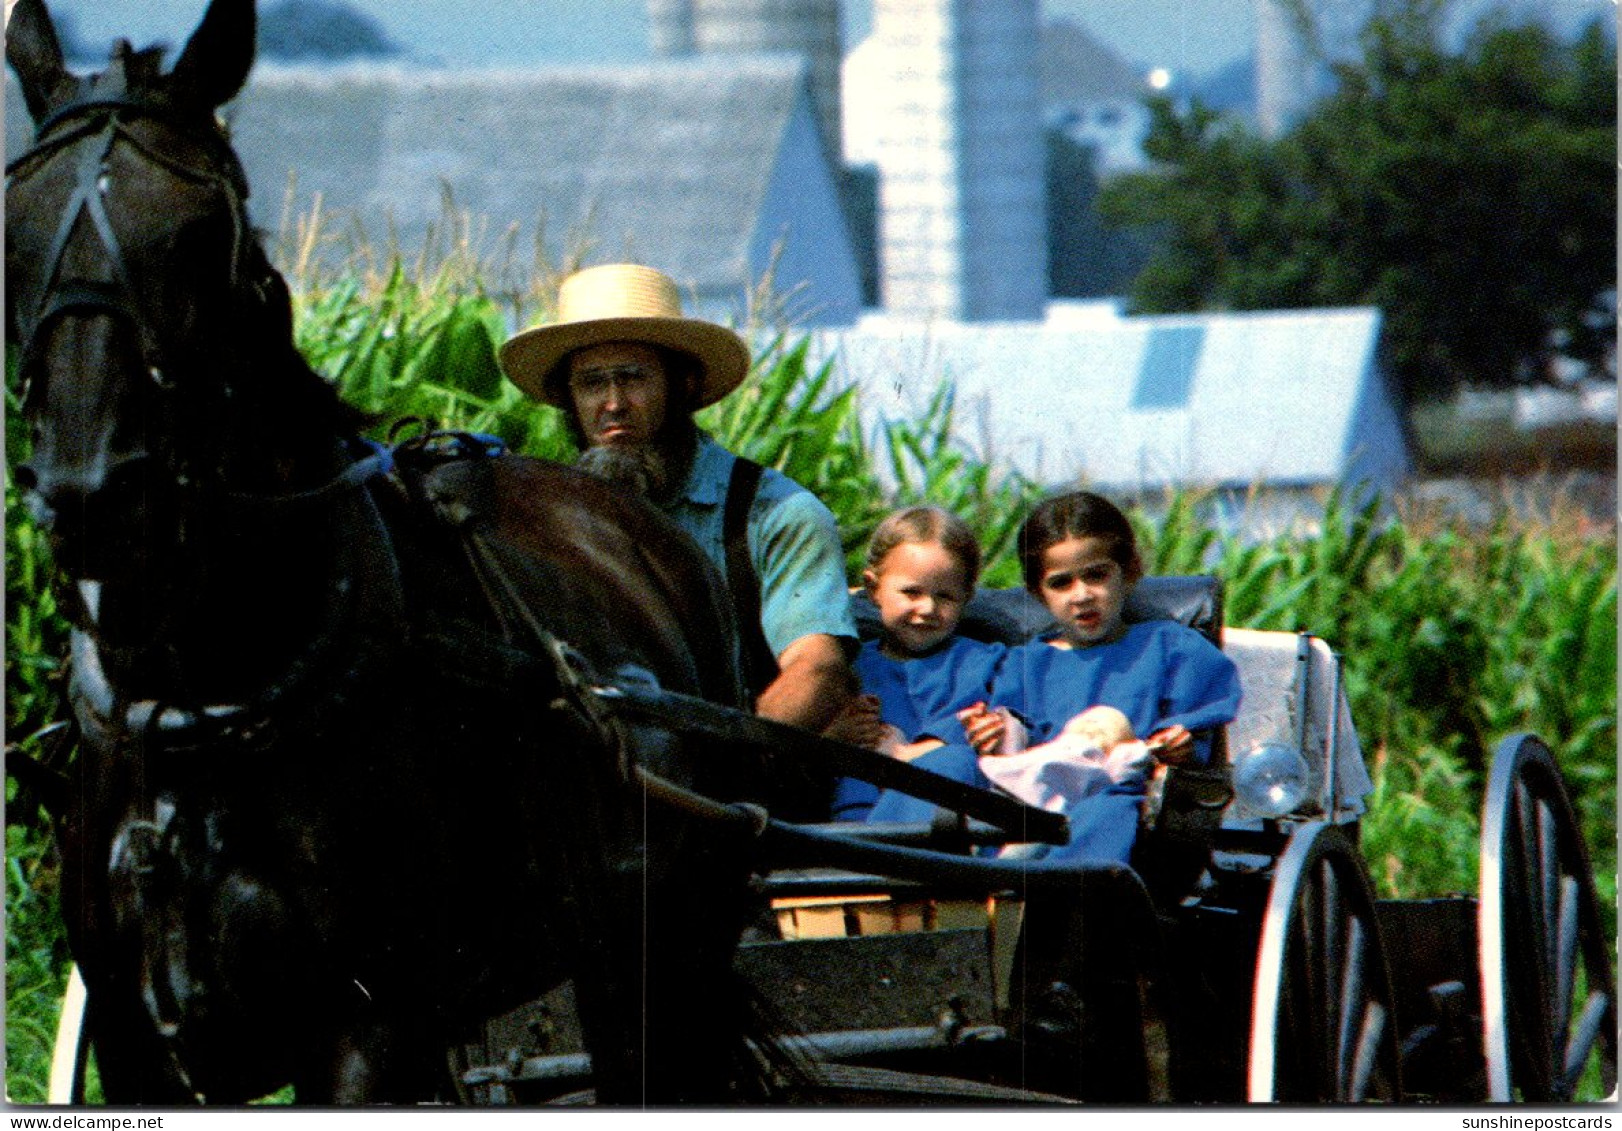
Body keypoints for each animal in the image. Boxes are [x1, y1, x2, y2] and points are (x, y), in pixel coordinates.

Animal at [0, 0, 785, 1096]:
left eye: (198, 235)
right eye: (15, 227)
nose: (91, 490)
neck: (204, 691)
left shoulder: (361, 1028)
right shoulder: (133, 1033)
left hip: (662, 947)